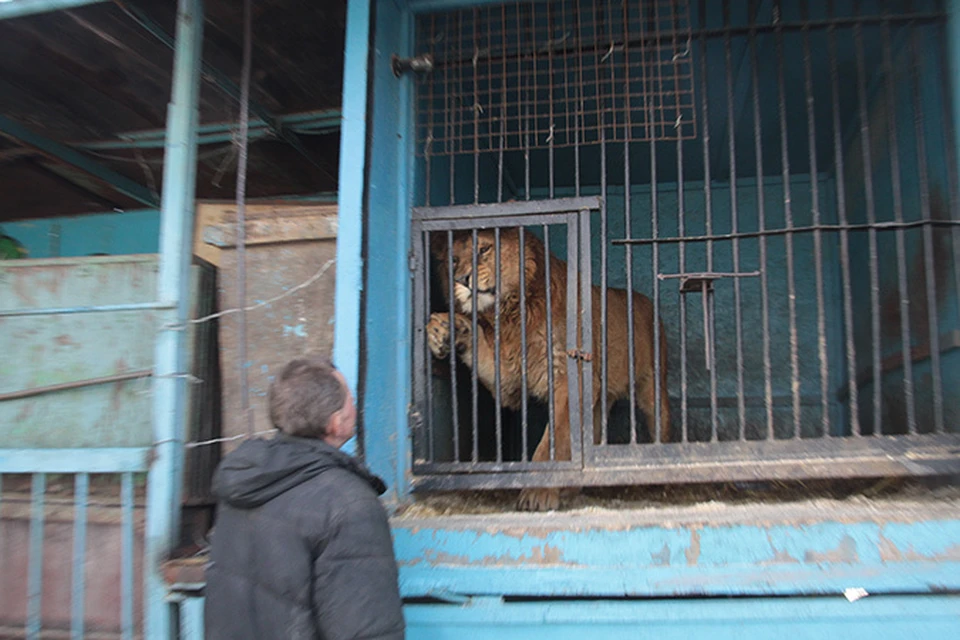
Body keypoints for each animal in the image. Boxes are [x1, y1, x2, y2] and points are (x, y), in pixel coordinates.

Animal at [428, 228, 668, 512]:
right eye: (453, 260)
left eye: (484, 249)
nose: (461, 279)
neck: (511, 313)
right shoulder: (509, 378)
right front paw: (442, 328)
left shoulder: (569, 377)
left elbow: (553, 440)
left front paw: (538, 493)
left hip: (652, 388)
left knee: (661, 425)